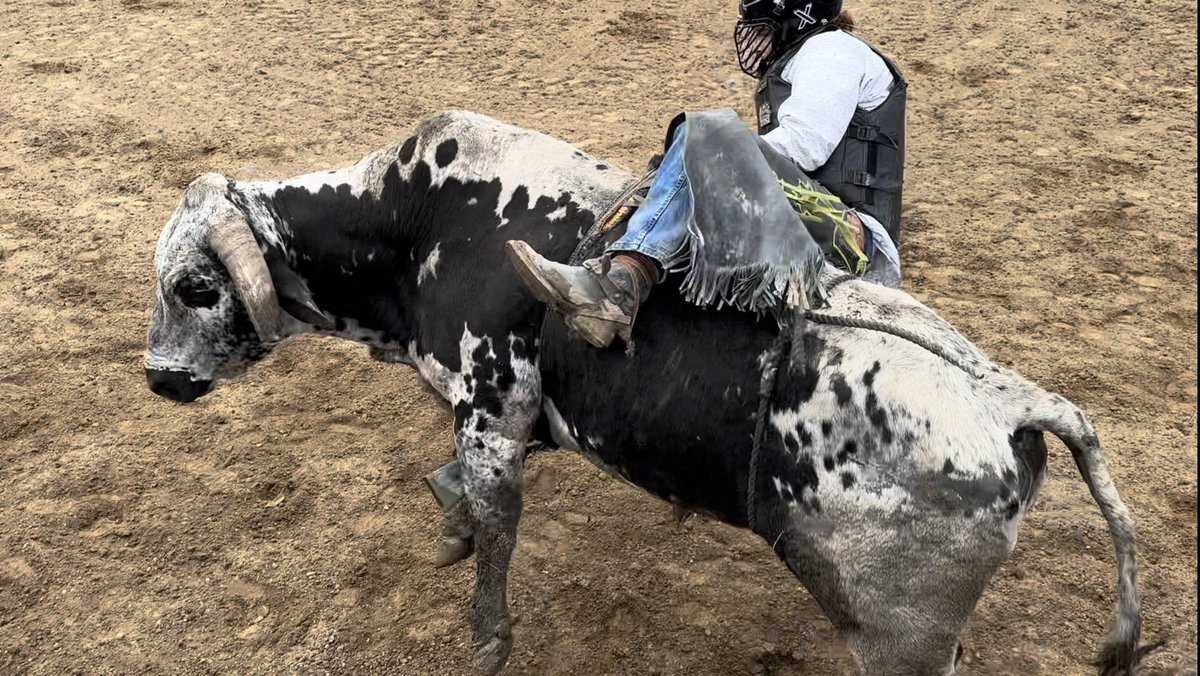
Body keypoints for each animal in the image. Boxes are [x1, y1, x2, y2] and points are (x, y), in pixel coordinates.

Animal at [144, 111, 1149, 675]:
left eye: (194, 287)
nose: (157, 379)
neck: (418, 219)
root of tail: (1010, 401)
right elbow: (456, 494)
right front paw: (448, 529)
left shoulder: (493, 414)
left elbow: (495, 526)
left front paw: (486, 634)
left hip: (898, 638)